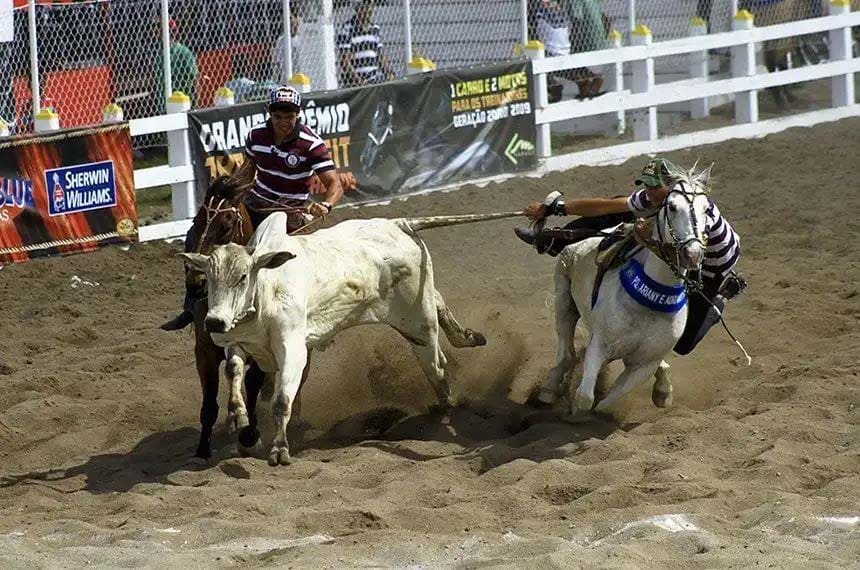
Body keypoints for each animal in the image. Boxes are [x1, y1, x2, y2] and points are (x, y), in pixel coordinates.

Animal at [178, 211, 516, 464]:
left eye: (242, 277)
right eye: (210, 278)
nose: (214, 321)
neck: (267, 290)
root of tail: (399, 224)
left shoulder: (293, 351)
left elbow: (282, 400)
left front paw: (280, 450)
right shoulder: (237, 343)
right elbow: (234, 369)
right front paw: (239, 416)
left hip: (420, 323)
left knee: (437, 368)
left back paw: (445, 409)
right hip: (419, 312)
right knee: (439, 306)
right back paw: (468, 337)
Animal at [536, 164, 712, 412]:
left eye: (707, 209)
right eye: (672, 206)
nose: (693, 254)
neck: (649, 303)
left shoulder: (645, 364)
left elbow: (606, 404)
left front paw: (662, 394)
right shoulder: (599, 345)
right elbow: (584, 398)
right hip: (564, 301)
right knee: (566, 354)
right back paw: (549, 390)